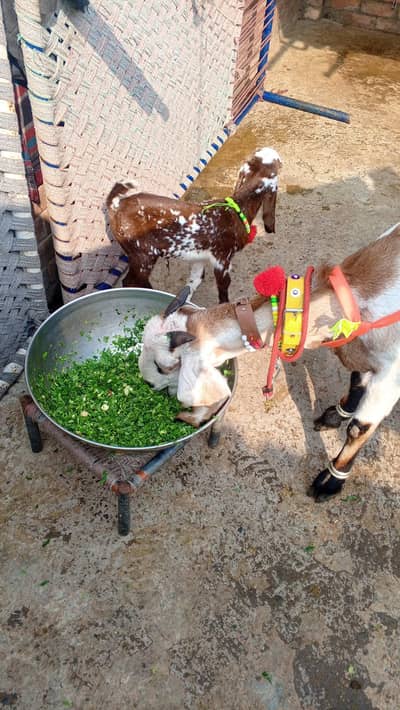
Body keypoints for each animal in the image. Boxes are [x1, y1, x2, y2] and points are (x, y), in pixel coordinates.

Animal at [106, 148, 282, 303]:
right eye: (278, 163)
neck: (237, 207)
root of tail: (116, 205)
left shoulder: (199, 257)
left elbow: (194, 281)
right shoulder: (222, 260)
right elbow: (223, 288)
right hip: (143, 255)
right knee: (130, 281)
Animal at [139, 222, 400, 501]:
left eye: (164, 366)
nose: (148, 385)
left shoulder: (390, 378)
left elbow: (358, 428)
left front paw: (328, 483)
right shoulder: (357, 349)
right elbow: (356, 379)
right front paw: (334, 416)